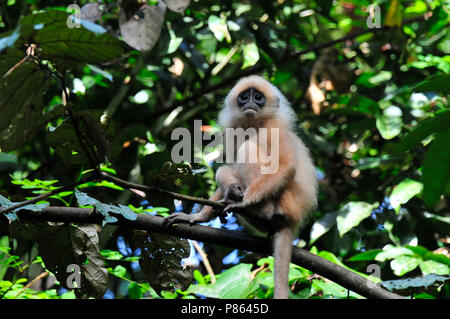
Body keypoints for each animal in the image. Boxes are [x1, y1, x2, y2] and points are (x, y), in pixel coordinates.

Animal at [164, 75, 316, 300]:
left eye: (258, 97)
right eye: (244, 97)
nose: (250, 103)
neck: (256, 124)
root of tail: (294, 219)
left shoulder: (275, 130)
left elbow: (286, 166)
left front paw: (244, 201)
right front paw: (196, 217)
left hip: (286, 202)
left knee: (249, 147)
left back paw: (259, 207)